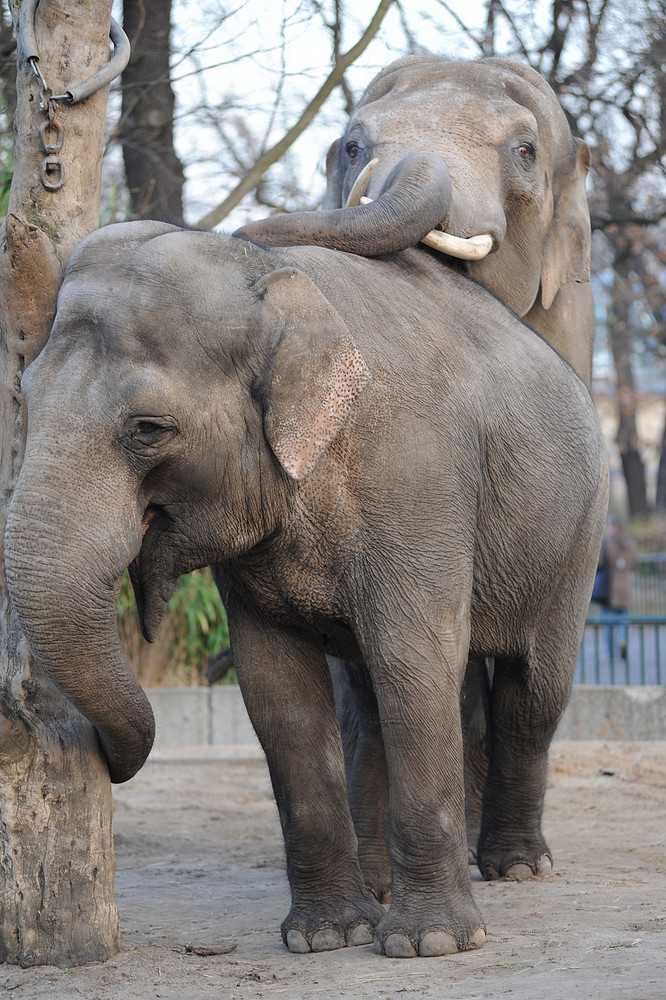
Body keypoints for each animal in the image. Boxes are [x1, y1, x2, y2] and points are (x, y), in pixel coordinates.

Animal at [3, 221, 608, 960]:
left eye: (148, 429)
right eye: (25, 398)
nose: (104, 761)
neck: (276, 280)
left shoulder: (417, 482)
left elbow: (414, 662)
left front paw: (429, 944)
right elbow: (279, 693)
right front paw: (327, 937)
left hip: (578, 535)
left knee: (532, 691)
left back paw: (515, 868)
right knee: (374, 705)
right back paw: (382, 886)